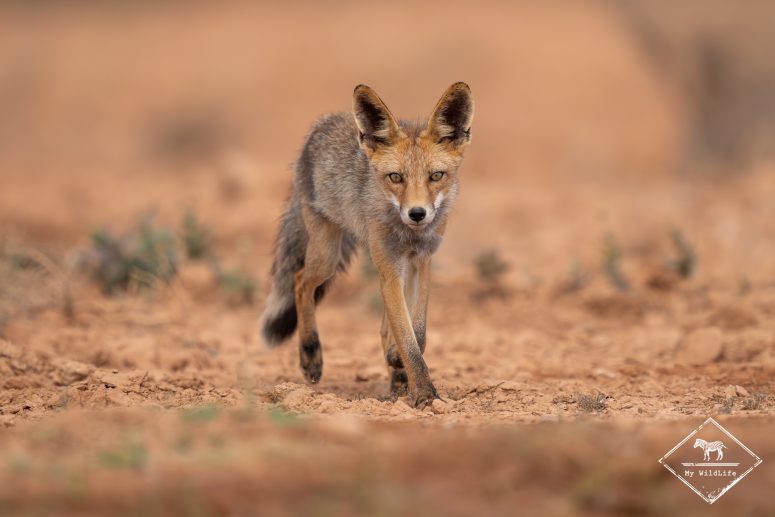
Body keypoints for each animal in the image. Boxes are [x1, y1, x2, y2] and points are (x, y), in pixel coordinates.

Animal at [259, 82, 474, 408]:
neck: (409, 236)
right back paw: (310, 354)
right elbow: (409, 340)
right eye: (395, 177)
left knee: (382, 322)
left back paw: (395, 376)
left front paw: (400, 365)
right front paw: (425, 394)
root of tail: (321, 123)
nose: (417, 213)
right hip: (326, 256)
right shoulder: (391, 268)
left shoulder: (421, 262)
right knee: (300, 281)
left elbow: (418, 332)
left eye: (436, 176)